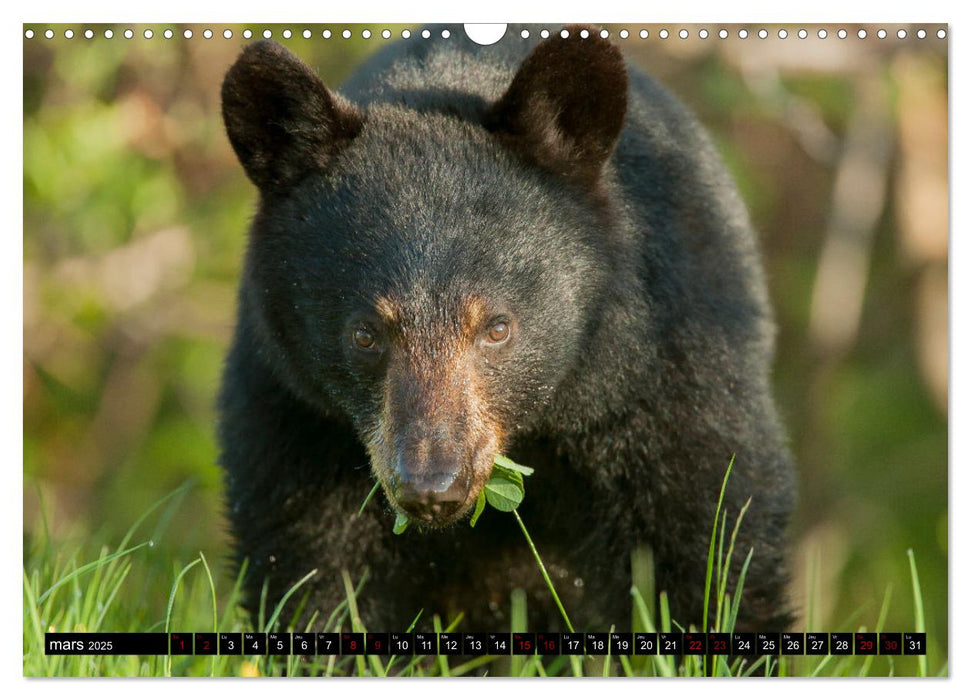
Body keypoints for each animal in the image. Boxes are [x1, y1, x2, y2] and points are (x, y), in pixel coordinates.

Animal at [220, 24, 796, 632]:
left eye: (497, 327)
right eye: (365, 334)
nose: (432, 488)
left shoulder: (667, 364)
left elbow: (709, 538)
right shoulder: (296, 413)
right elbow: (312, 568)